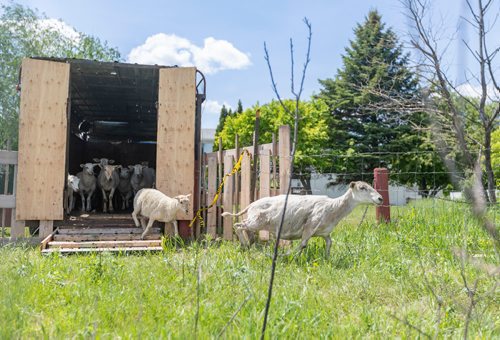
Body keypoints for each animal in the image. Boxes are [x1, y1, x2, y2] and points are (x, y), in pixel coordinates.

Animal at [222, 181, 382, 255]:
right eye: (362, 188)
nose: (380, 198)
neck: (334, 207)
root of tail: (251, 204)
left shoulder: (324, 233)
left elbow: (329, 243)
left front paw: (327, 258)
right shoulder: (310, 226)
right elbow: (303, 244)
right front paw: (288, 255)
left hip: (255, 221)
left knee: (241, 225)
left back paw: (246, 245)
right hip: (256, 222)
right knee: (238, 226)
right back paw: (245, 245)